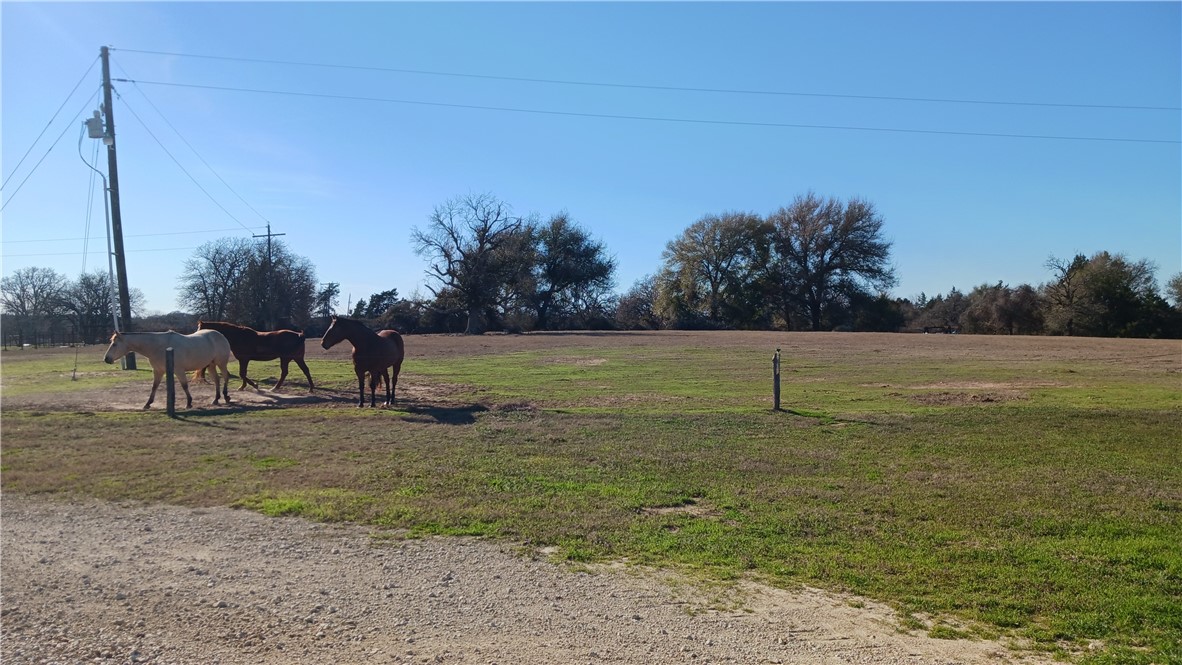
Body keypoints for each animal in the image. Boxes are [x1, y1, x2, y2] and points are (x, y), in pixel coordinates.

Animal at [104, 328, 232, 411]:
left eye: (114, 344)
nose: (106, 359)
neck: (158, 346)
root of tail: (220, 335)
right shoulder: (158, 371)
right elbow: (154, 387)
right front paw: (147, 404)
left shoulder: (178, 371)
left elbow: (184, 386)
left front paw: (189, 403)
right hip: (211, 365)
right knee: (217, 380)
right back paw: (216, 399)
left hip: (221, 363)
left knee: (225, 376)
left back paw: (226, 397)